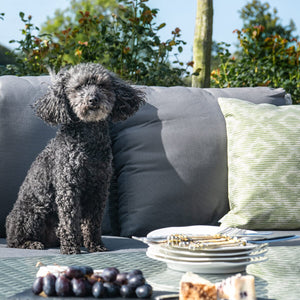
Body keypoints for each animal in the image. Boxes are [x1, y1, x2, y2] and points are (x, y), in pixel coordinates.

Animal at [5, 62, 145, 253]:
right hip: (32, 212)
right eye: (78, 87)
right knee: (15, 240)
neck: (88, 143)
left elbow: (93, 222)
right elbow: (70, 219)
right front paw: (71, 248)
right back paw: (33, 243)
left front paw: (95, 245)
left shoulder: (99, 188)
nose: (93, 99)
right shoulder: (68, 186)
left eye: (102, 85)